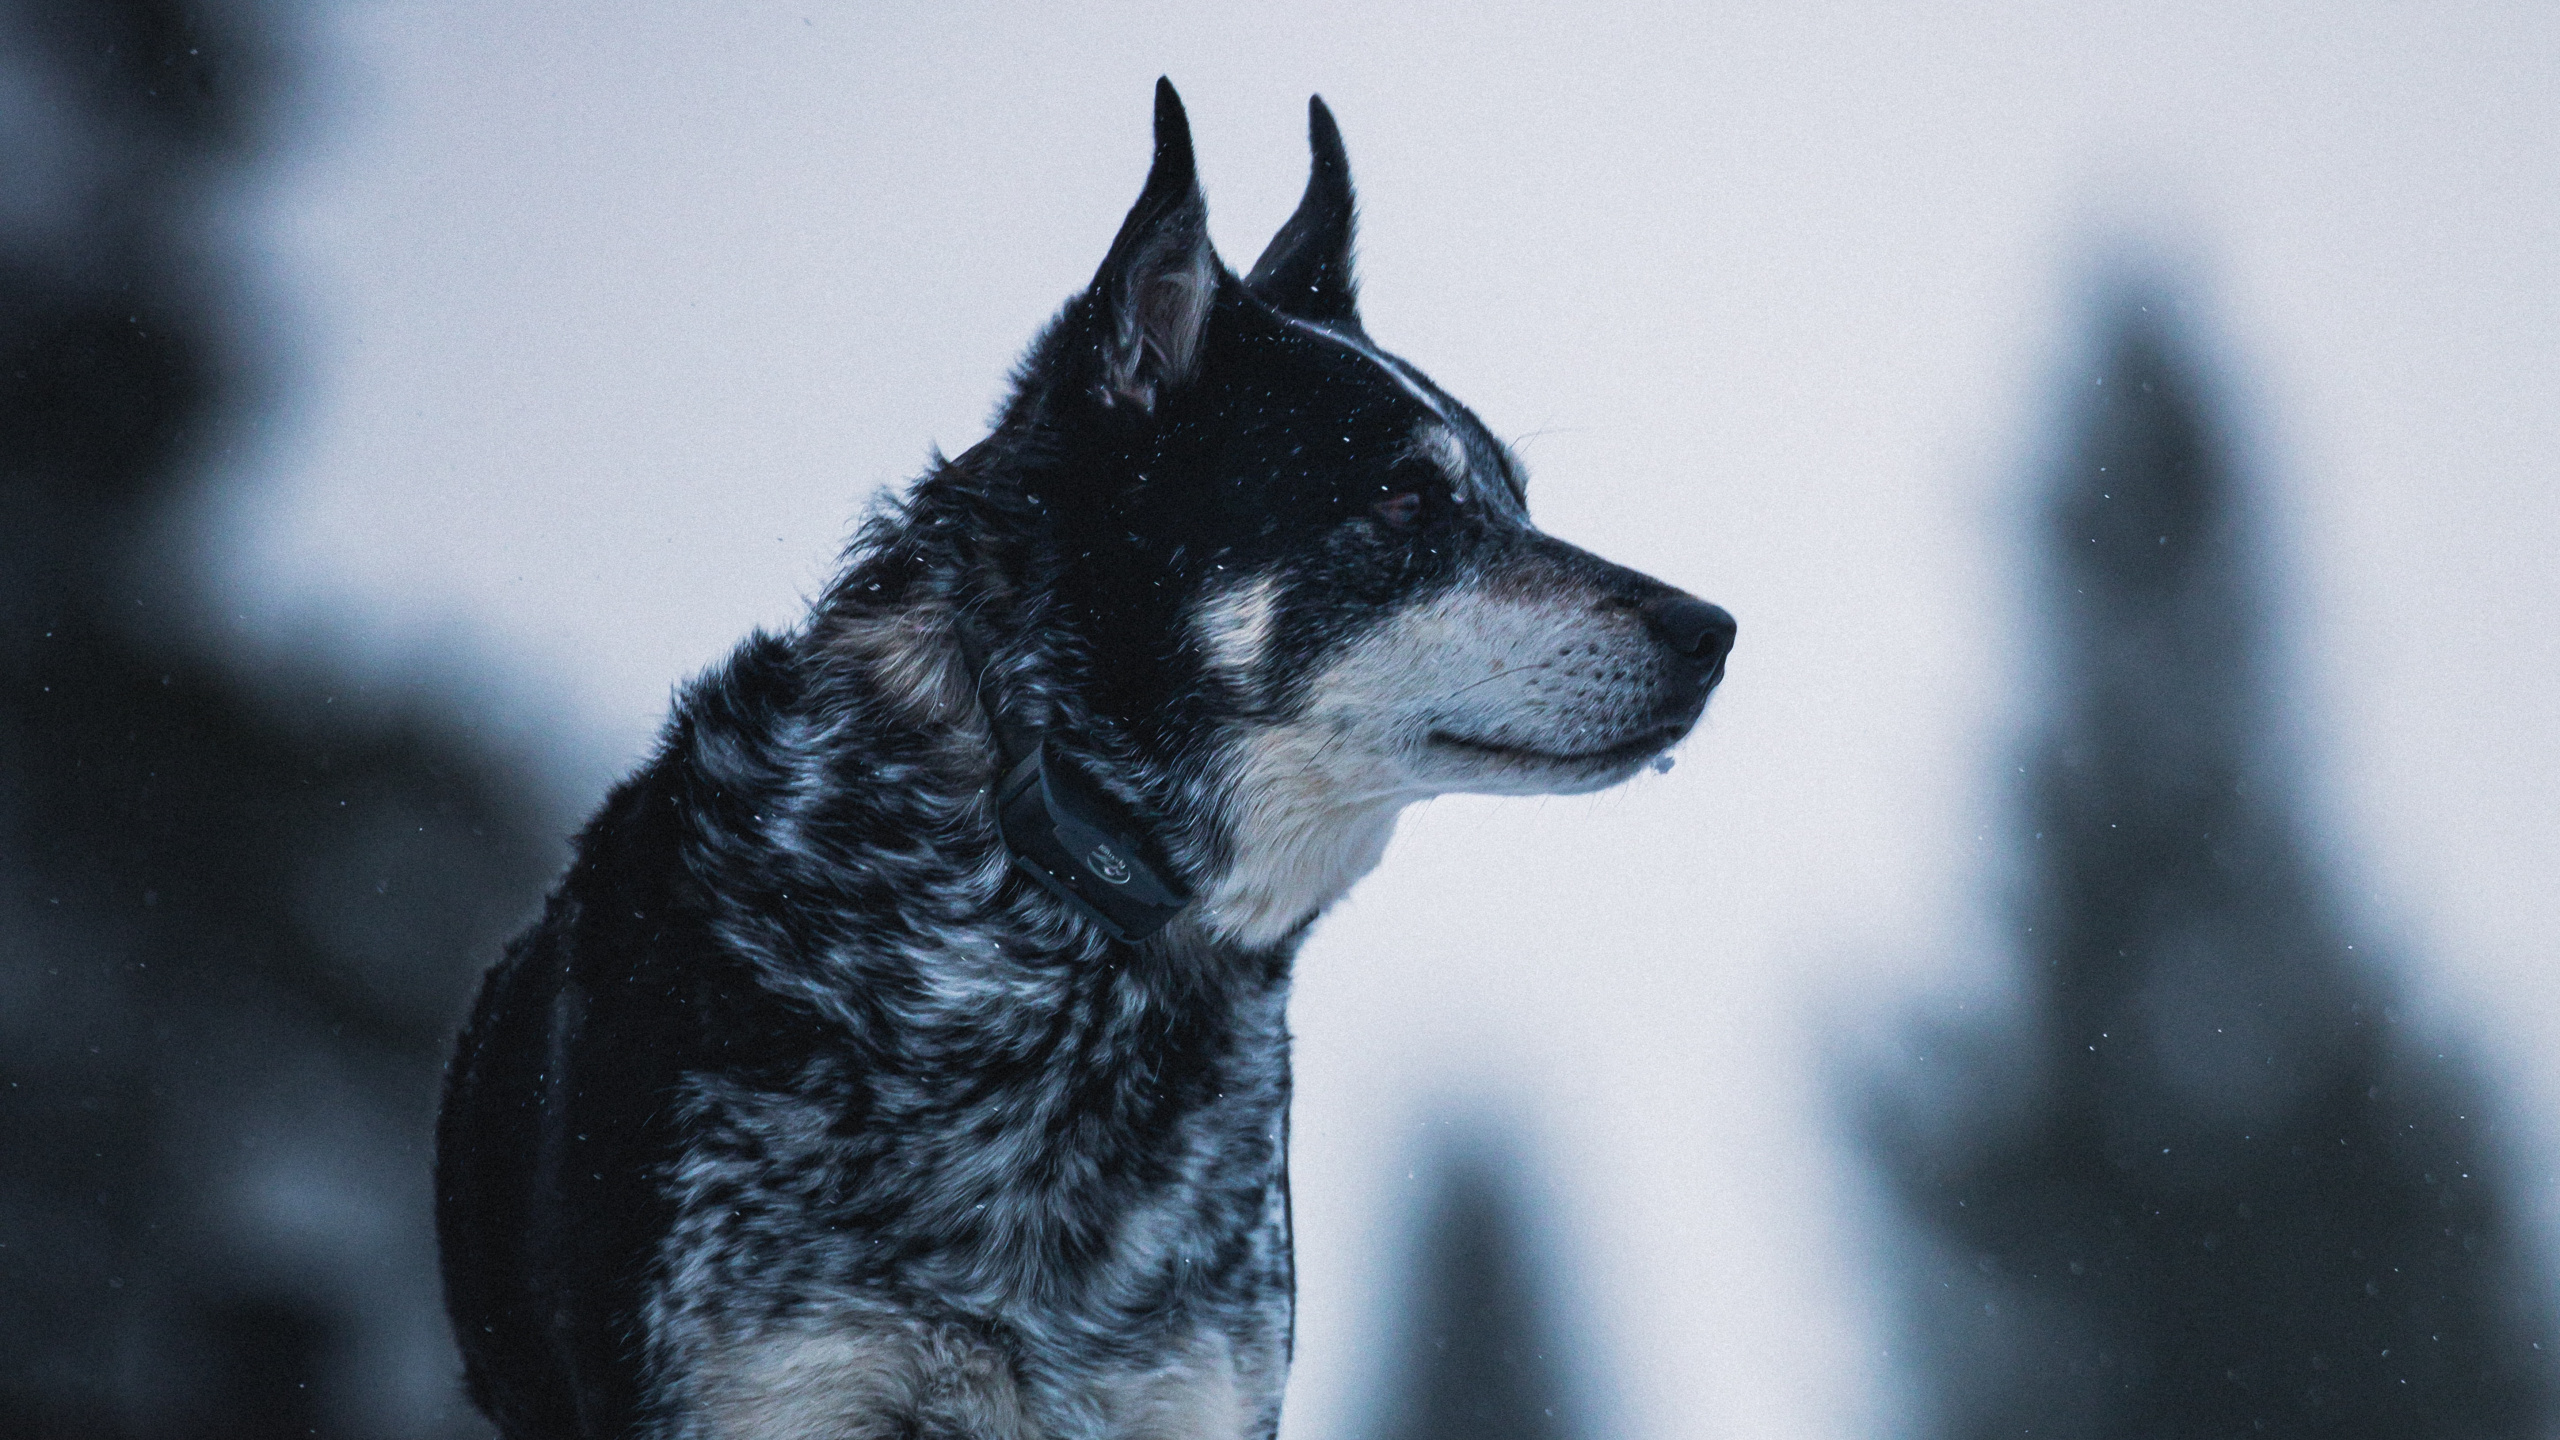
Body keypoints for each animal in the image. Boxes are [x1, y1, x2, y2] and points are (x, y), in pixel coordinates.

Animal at [435, 80, 1734, 1440]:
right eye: (1402, 499)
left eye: (1515, 497)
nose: (1714, 632)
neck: (1057, 932)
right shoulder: (765, 1393)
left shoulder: (1188, 1395)